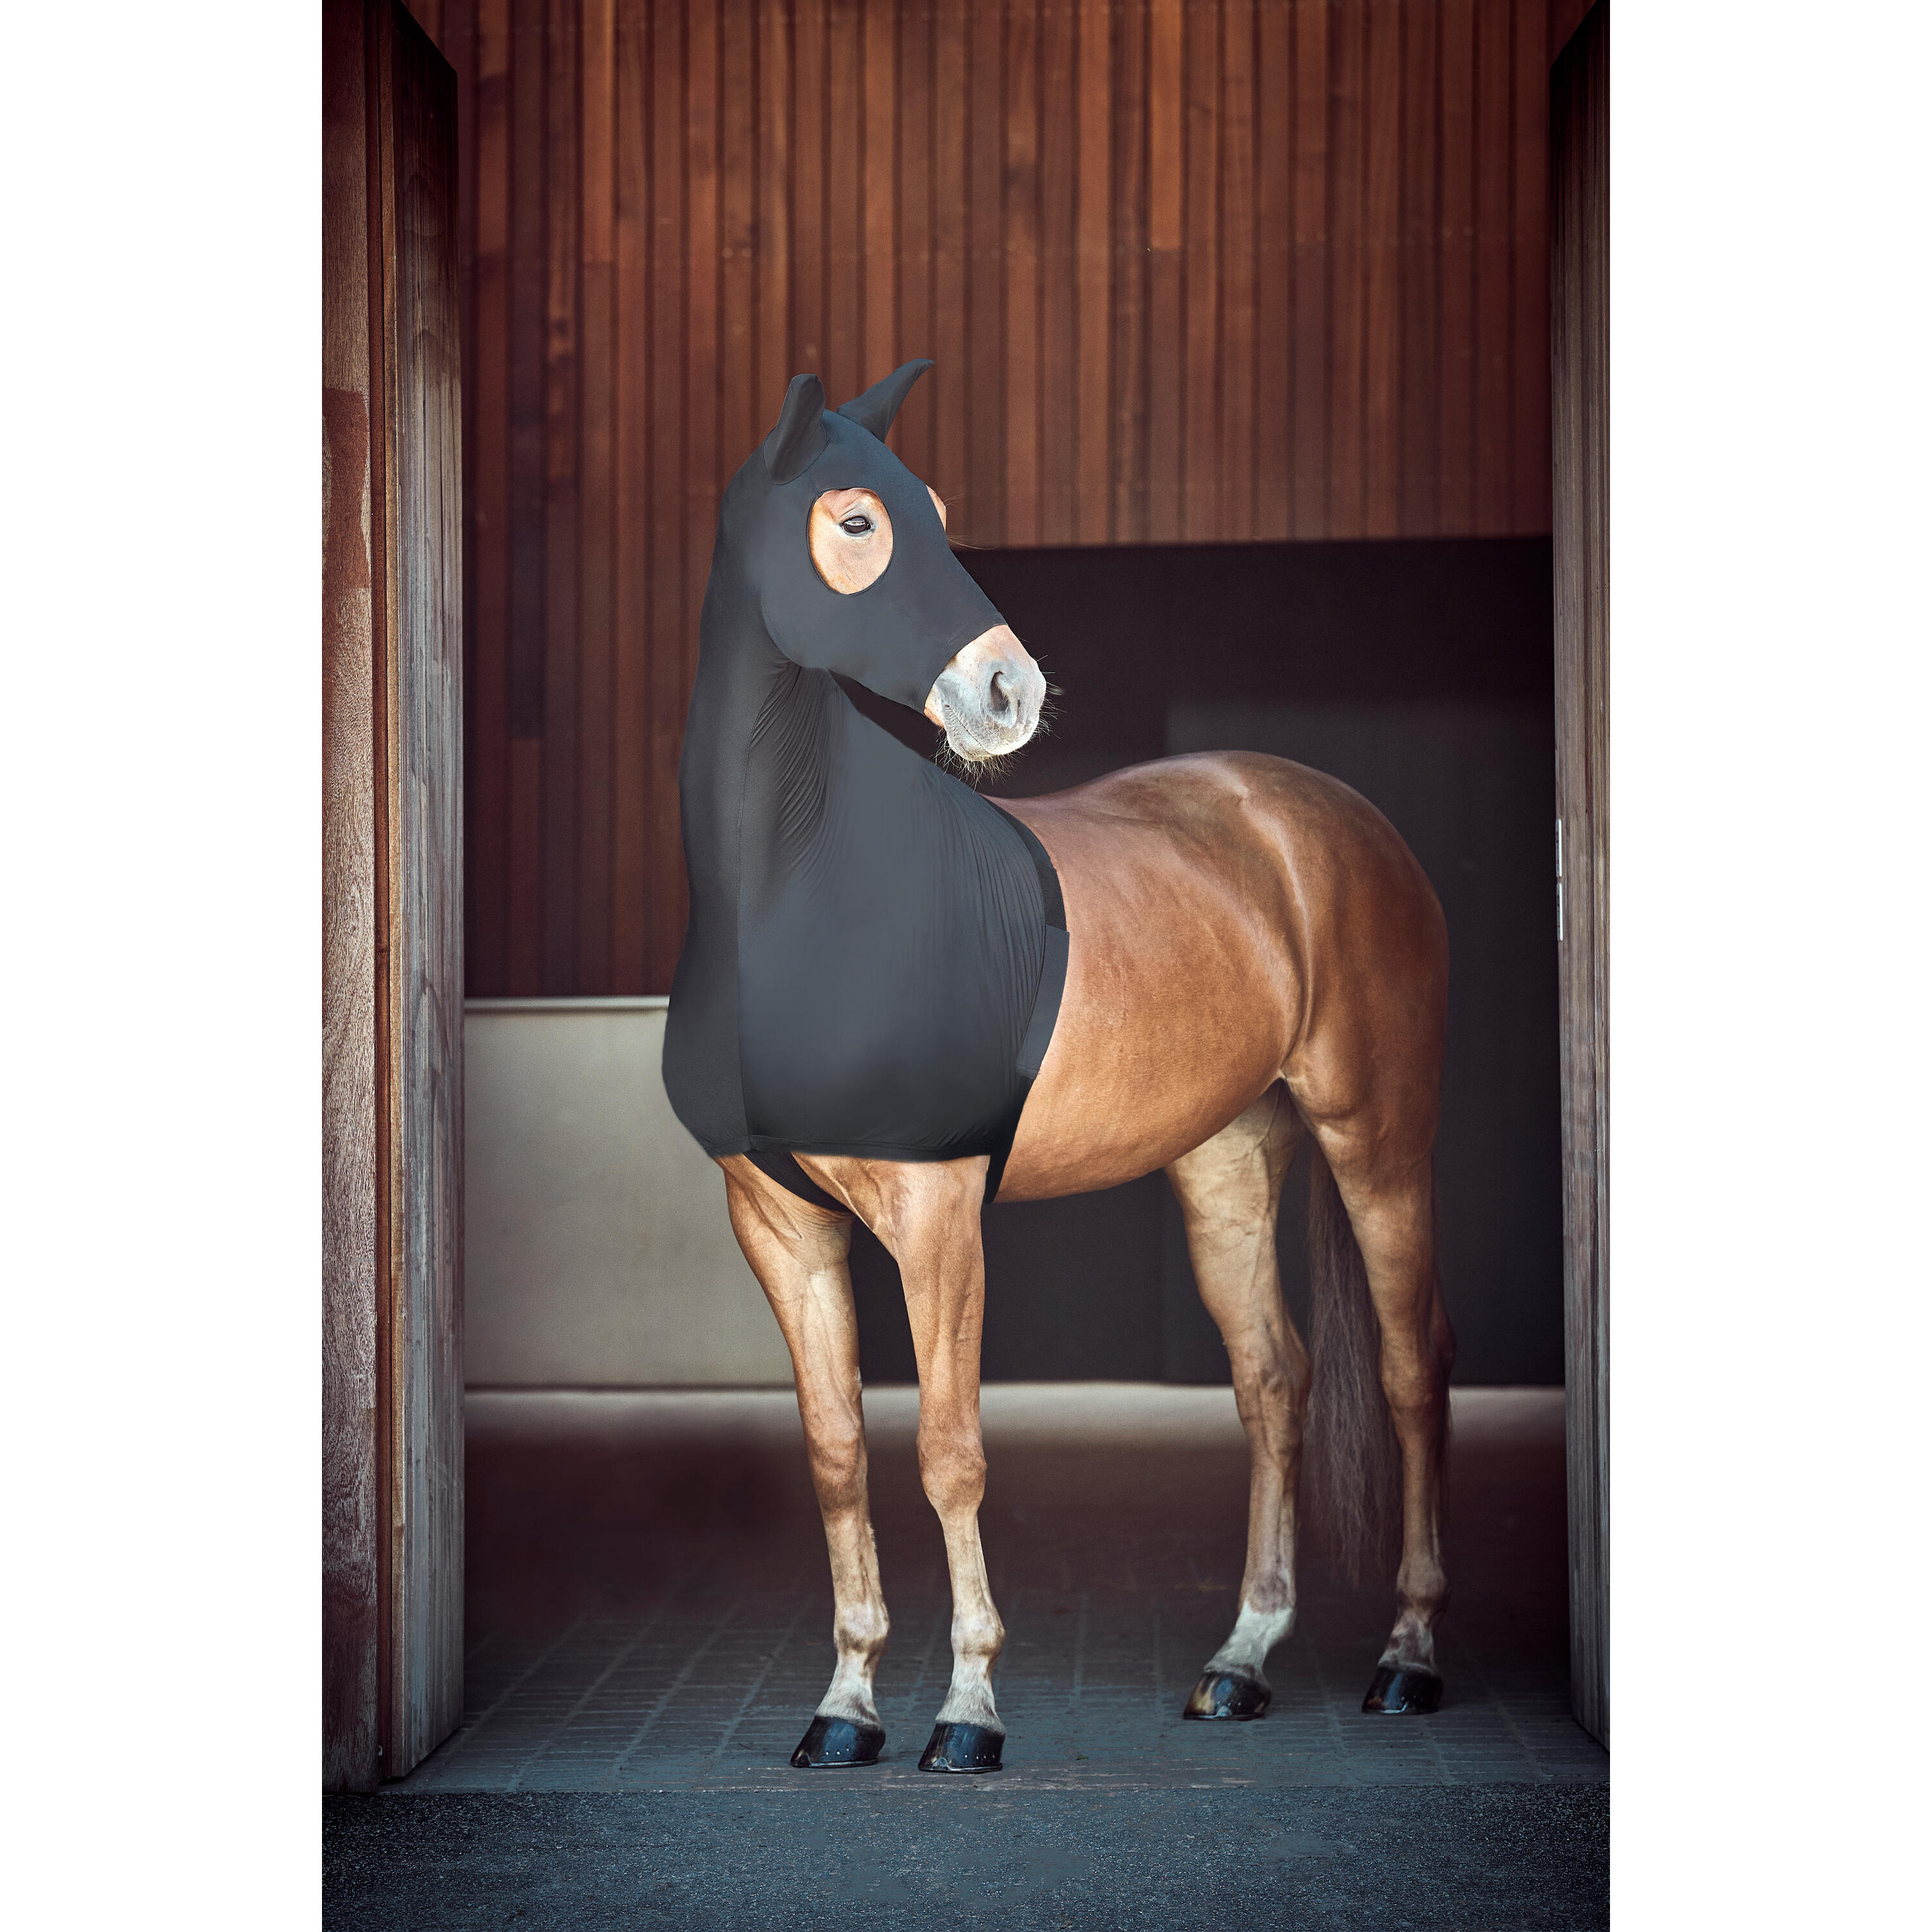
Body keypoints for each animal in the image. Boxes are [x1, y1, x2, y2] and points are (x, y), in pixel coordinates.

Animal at [666, 361, 1454, 1775]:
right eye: (858, 522)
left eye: (937, 508)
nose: (1009, 692)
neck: (800, 900)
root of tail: (1326, 817)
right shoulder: (776, 1221)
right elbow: (835, 1455)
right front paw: (844, 1709)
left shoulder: (937, 1215)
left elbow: (949, 1452)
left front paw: (968, 1713)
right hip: (1228, 1162)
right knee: (1272, 1380)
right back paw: (1240, 1664)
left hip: (1379, 1140)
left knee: (1414, 1369)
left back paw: (1409, 1659)